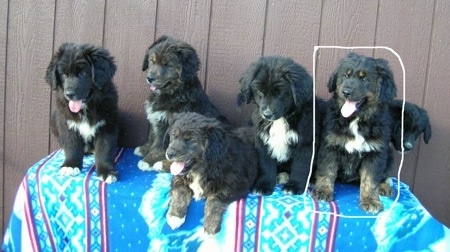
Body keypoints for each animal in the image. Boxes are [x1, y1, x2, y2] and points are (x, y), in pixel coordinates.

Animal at [46, 42, 119, 183]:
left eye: (83, 73)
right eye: (63, 74)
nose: (69, 94)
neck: (86, 108)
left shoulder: (107, 126)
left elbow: (105, 150)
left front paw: (107, 172)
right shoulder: (67, 124)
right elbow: (72, 146)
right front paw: (70, 165)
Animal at [133, 35, 225, 171]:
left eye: (167, 65)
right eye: (152, 61)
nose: (149, 78)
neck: (174, 92)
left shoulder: (167, 124)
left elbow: (159, 144)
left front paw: (148, 159)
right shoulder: (157, 118)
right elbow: (152, 135)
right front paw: (144, 148)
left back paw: (161, 164)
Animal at [236, 56, 320, 195]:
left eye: (280, 92)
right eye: (260, 91)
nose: (267, 114)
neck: (281, 119)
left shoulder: (305, 143)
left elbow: (300, 166)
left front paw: (294, 186)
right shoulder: (263, 141)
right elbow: (266, 165)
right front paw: (263, 185)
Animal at [312, 52, 398, 213]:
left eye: (364, 79)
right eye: (345, 76)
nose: (346, 92)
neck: (356, 119)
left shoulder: (375, 152)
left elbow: (370, 179)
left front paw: (370, 200)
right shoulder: (330, 145)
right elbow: (327, 170)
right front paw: (323, 191)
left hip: (388, 153)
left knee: (383, 175)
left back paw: (384, 186)